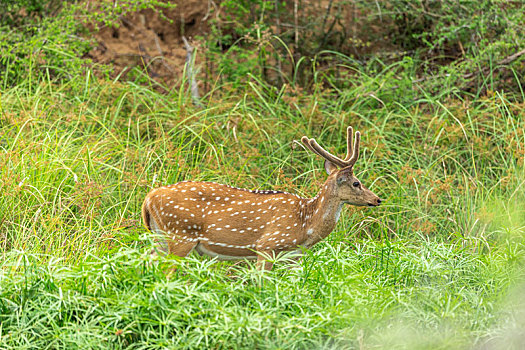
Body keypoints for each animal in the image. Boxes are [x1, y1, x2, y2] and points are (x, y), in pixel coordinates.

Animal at [142, 127, 380, 270]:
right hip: (181, 234)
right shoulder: (267, 246)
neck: (306, 225)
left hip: (160, 236)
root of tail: (148, 198)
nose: (377, 199)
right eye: (356, 183)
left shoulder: (294, 256)